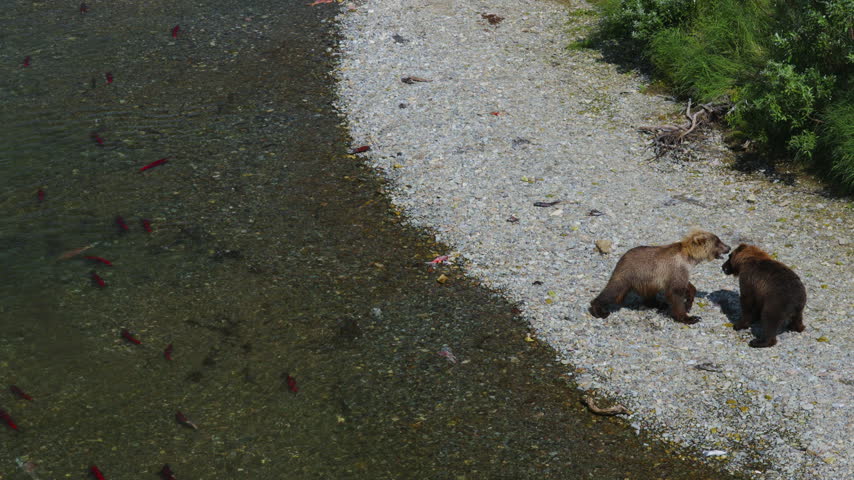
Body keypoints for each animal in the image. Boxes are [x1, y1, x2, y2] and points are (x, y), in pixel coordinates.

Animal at [589, 229, 730, 324]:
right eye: (718, 242)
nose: (728, 248)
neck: (690, 258)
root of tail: (622, 257)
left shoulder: (679, 273)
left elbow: (687, 286)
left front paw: (689, 302)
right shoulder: (676, 268)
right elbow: (675, 292)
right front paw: (690, 317)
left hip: (647, 280)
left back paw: (659, 303)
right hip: (630, 273)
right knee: (614, 290)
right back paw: (598, 310)